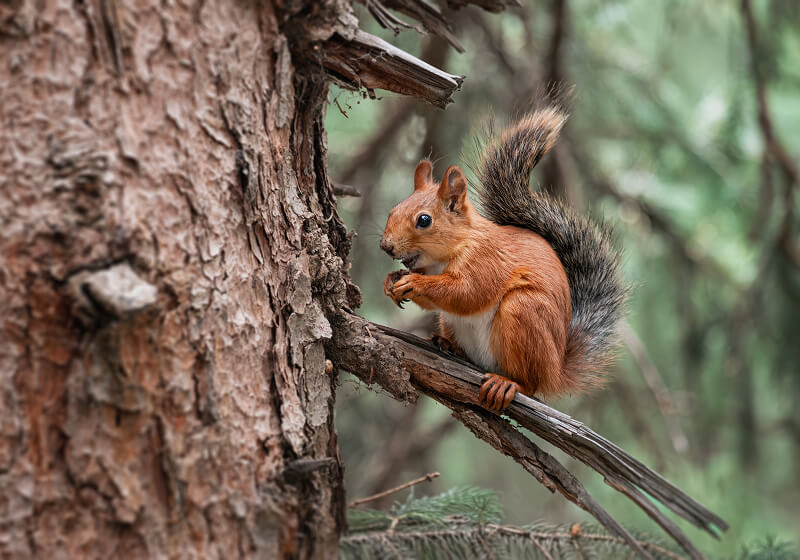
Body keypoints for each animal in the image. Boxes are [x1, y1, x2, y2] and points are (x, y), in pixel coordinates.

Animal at [380, 105, 627, 411]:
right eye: (393, 210)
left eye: (424, 220)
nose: (386, 246)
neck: (449, 253)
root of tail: (556, 369)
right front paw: (391, 281)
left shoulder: (487, 261)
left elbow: (467, 293)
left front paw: (414, 283)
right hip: (453, 323)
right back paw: (449, 346)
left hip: (523, 312)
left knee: (530, 384)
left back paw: (507, 383)